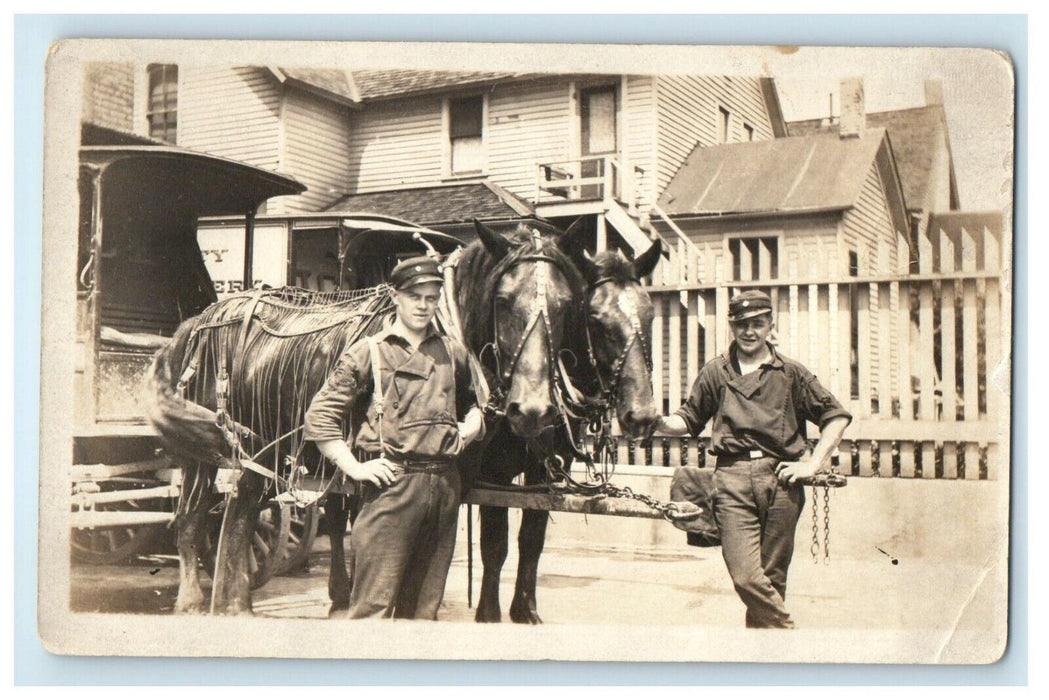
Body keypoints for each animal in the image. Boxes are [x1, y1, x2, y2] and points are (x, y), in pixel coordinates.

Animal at [145, 219, 583, 612]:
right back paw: (193, 601)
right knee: (192, 520)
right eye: (503, 301)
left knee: (239, 517)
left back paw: (236, 605)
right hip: (205, 452)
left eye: (566, 306)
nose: (533, 410)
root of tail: (196, 321)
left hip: (258, 450)